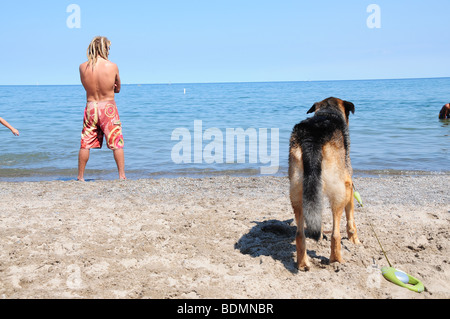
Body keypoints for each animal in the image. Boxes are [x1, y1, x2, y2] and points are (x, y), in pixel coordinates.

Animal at [290, 98, 360, 272]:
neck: (328, 111)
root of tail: (313, 138)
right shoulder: (348, 184)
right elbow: (351, 218)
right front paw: (354, 239)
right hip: (339, 193)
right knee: (335, 233)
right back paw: (337, 260)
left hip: (297, 191)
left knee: (299, 234)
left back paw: (303, 263)